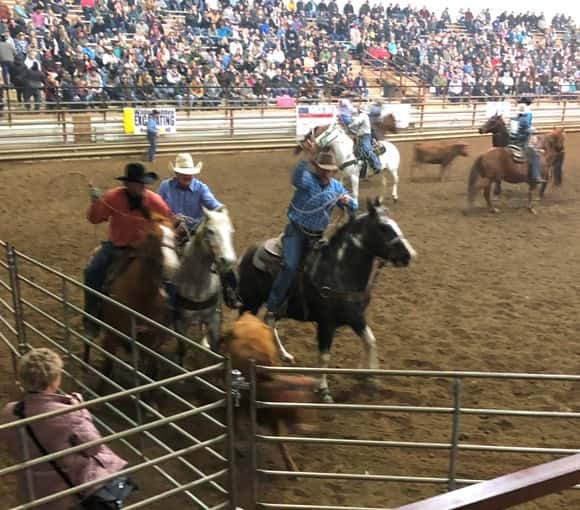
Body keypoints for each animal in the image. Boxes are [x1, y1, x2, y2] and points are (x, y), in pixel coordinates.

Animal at [82, 213, 179, 388]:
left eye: (176, 236)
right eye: (151, 235)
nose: (171, 268)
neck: (141, 296)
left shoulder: (151, 340)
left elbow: (150, 373)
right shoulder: (111, 337)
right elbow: (106, 370)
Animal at [171, 205, 237, 356]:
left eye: (231, 232)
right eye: (211, 231)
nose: (228, 261)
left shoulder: (214, 320)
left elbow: (216, 349)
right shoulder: (180, 323)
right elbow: (181, 350)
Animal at [219, 312, 318, 472]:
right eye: (293, 405)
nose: (306, 428)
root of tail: (247, 316)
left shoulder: (274, 417)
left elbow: (281, 441)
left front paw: (291, 466)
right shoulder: (239, 402)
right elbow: (235, 424)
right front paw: (237, 447)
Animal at [237, 199, 416, 402]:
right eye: (383, 228)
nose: (408, 255)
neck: (338, 271)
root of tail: (248, 253)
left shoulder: (356, 317)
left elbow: (370, 341)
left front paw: (370, 377)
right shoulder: (326, 323)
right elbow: (324, 356)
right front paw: (323, 390)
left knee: (269, 321)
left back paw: (284, 354)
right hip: (250, 302)